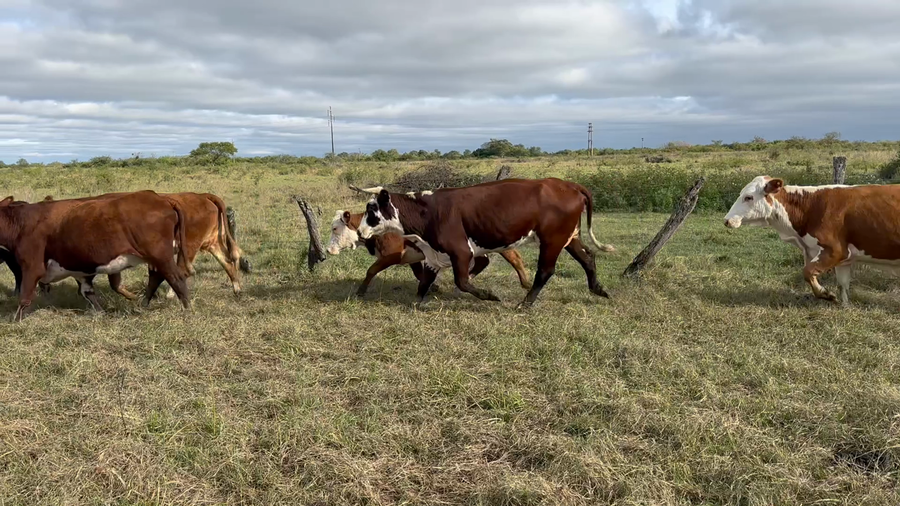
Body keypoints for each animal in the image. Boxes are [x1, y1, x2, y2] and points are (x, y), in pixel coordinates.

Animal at [0, 190, 193, 321]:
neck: (21, 223)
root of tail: (161, 198)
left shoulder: (32, 267)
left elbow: (24, 297)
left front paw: (15, 321)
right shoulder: (80, 271)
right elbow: (88, 293)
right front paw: (101, 313)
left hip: (160, 256)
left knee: (176, 279)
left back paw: (187, 310)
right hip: (156, 258)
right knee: (157, 278)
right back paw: (144, 304)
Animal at [327, 209, 532, 296]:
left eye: (335, 228)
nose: (328, 249)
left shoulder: (392, 255)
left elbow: (371, 270)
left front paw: (360, 291)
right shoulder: (412, 257)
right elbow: (420, 274)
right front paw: (433, 287)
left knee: (514, 258)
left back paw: (526, 283)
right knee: (484, 261)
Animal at [355, 178, 616, 306]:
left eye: (372, 210)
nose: (359, 231)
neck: (428, 211)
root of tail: (569, 185)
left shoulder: (461, 252)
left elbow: (462, 282)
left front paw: (489, 295)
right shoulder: (433, 255)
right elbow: (424, 283)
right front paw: (418, 301)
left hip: (552, 240)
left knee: (545, 271)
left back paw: (525, 303)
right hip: (569, 237)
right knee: (588, 258)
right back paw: (598, 289)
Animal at [724, 175, 900, 304]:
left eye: (748, 197)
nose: (726, 220)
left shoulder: (835, 250)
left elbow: (807, 271)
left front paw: (825, 294)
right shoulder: (845, 257)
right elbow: (843, 286)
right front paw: (844, 306)